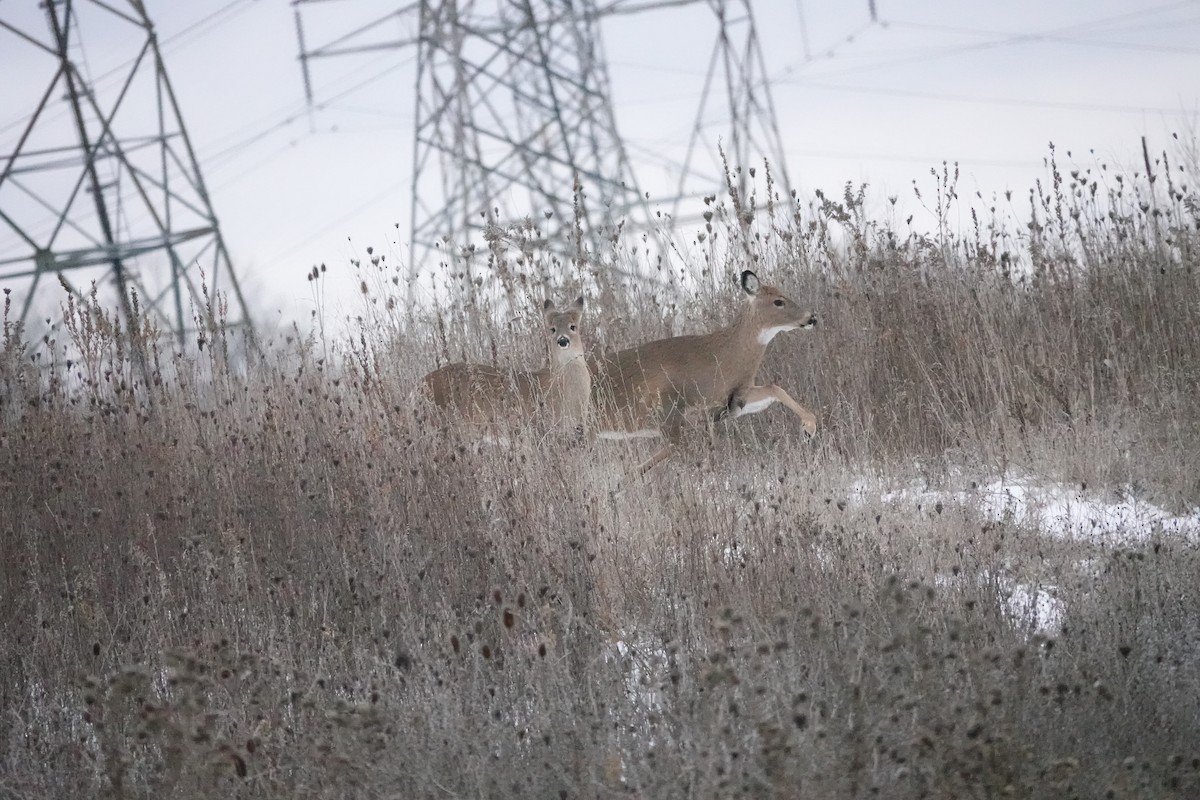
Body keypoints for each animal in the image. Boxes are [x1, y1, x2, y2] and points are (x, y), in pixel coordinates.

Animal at [589, 270, 817, 474]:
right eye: (778, 301)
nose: (811, 317)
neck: (723, 358)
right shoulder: (675, 412)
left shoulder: (734, 401)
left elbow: (774, 388)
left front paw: (809, 427)